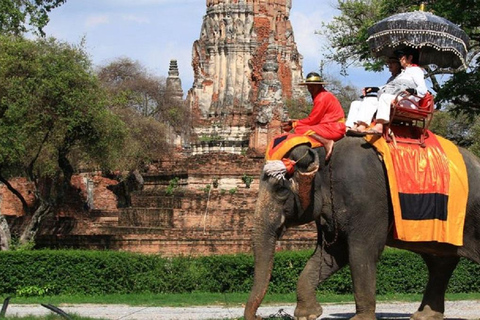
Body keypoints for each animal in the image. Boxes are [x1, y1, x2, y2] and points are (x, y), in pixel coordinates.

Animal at [244, 138, 480, 320]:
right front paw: (307, 314)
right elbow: (331, 254)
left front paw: (360, 318)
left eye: (281, 190)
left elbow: (362, 252)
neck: (323, 151)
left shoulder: (367, 200)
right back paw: (424, 316)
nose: (260, 316)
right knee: (440, 263)